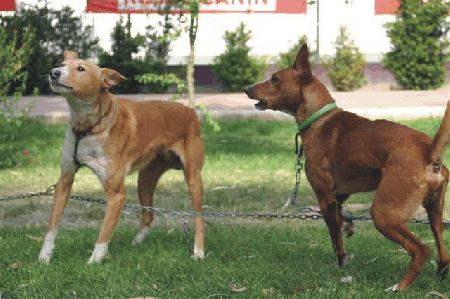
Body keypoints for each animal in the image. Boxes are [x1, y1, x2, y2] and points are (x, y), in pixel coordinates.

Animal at [39, 50, 205, 264]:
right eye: (62, 64)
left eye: (81, 68)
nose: (54, 72)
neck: (89, 126)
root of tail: (189, 110)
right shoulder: (64, 181)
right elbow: (53, 224)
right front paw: (45, 255)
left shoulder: (116, 193)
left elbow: (104, 233)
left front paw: (94, 261)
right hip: (145, 181)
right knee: (148, 216)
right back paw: (137, 243)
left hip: (193, 180)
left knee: (200, 219)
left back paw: (198, 251)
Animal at [244, 45, 450, 292]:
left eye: (274, 79)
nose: (246, 89)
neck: (319, 119)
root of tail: (429, 151)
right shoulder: (340, 194)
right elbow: (341, 215)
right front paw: (348, 226)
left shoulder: (325, 197)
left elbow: (336, 241)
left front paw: (341, 264)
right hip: (434, 212)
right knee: (442, 251)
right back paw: (439, 276)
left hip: (384, 215)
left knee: (421, 250)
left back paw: (399, 286)